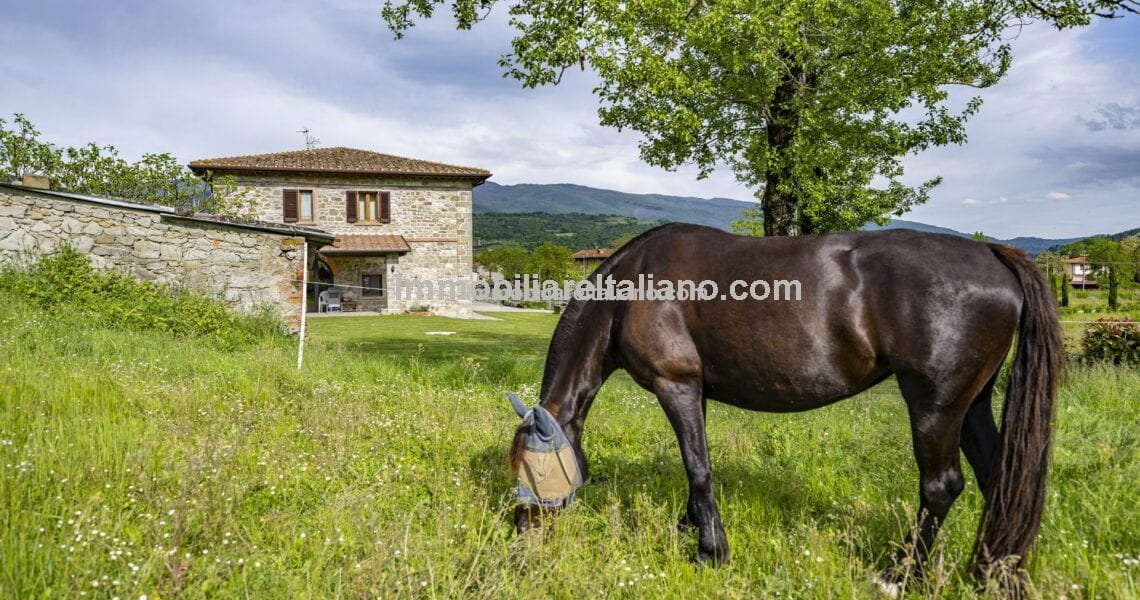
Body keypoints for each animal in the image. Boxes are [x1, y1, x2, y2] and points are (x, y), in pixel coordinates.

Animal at [507, 223, 1061, 589]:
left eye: (533, 472)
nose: (520, 533)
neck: (631, 290)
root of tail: (991, 253)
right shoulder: (696, 394)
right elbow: (698, 466)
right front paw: (694, 526)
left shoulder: (676, 386)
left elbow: (698, 467)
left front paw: (710, 552)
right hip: (973, 404)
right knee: (998, 480)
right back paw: (994, 575)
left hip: (935, 405)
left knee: (941, 487)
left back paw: (899, 574)